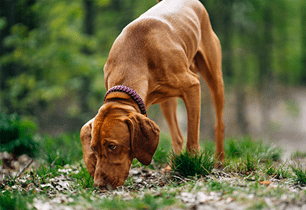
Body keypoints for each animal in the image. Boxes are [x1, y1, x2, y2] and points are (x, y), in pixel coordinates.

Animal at [81, 0, 225, 189]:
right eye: (94, 148)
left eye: (112, 146)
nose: (99, 184)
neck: (133, 58)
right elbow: (84, 130)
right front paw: (90, 163)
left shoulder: (192, 86)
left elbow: (193, 136)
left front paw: (193, 165)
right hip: (166, 101)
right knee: (177, 136)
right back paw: (172, 165)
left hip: (214, 77)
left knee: (219, 123)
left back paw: (219, 161)